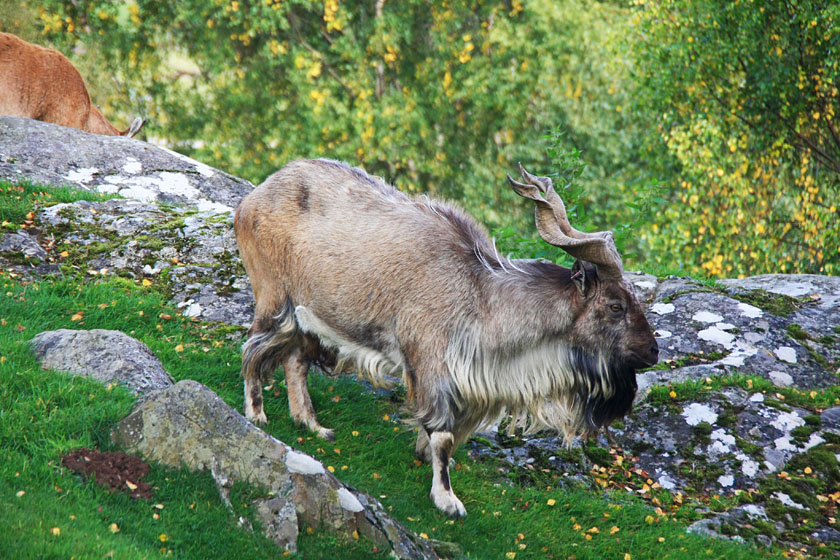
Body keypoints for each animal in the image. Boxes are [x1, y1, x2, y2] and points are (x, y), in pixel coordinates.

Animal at [233, 158, 660, 516]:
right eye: (615, 306)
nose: (653, 352)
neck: (480, 295)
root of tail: (253, 198)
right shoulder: (431, 363)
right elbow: (442, 435)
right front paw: (447, 499)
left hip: (308, 316)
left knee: (295, 361)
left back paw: (312, 425)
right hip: (274, 297)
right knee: (252, 348)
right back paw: (256, 414)